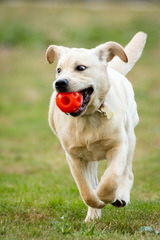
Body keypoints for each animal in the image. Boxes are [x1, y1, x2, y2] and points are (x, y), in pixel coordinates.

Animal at [45, 31, 147, 221]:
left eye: (81, 68)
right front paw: (96, 203)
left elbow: (111, 178)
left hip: (130, 138)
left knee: (127, 173)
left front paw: (107, 196)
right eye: (59, 70)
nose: (59, 83)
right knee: (92, 180)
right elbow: (86, 190)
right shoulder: (74, 157)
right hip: (90, 157)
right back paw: (93, 216)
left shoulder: (118, 146)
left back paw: (121, 196)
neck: (87, 117)